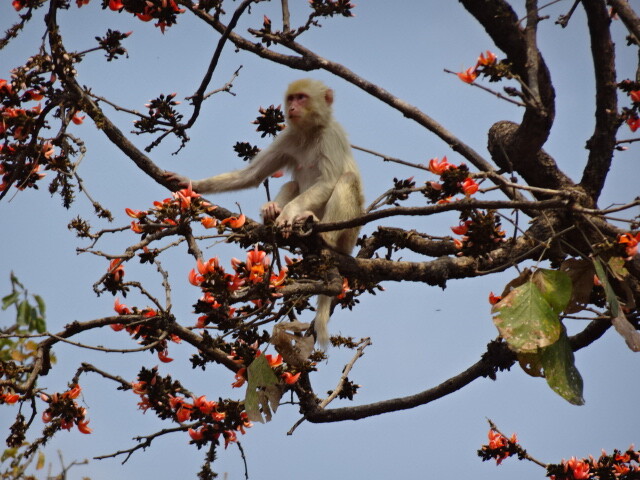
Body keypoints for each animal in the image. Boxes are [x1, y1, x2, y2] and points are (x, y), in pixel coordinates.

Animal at [164, 79, 364, 348]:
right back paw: (272, 213)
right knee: (293, 184)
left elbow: (329, 180)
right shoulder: (288, 137)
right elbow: (252, 175)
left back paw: (324, 237)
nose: (292, 108)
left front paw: (288, 215)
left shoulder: (330, 136)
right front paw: (190, 183)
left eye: (301, 97)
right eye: (291, 99)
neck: (309, 132)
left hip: (349, 234)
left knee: (346, 179)